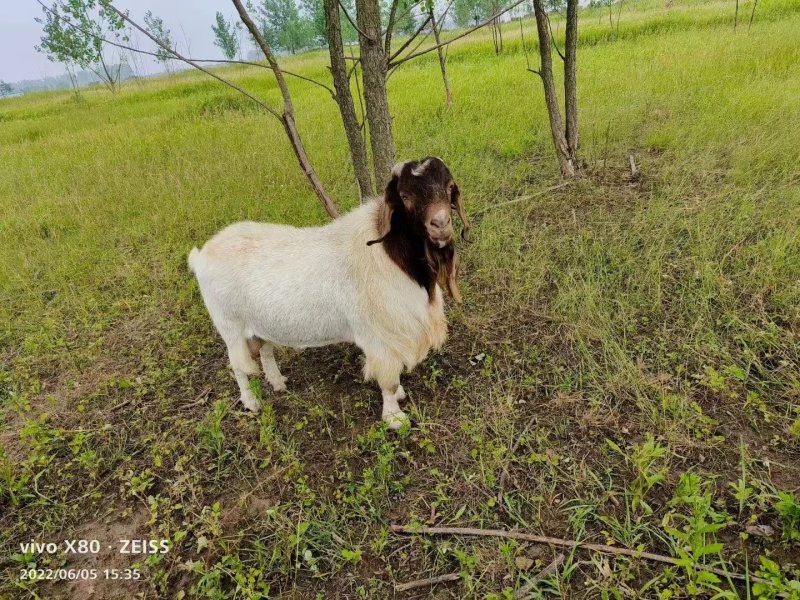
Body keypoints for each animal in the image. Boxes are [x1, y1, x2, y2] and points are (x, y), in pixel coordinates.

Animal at [188, 157, 468, 428]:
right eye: (405, 196)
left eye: (448, 188)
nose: (440, 224)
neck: (390, 255)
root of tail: (202, 256)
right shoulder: (380, 337)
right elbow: (387, 379)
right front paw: (394, 418)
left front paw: (398, 395)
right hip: (230, 326)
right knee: (238, 366)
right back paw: (251, 402)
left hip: (258, 324)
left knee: (265, 351)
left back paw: (278, 383)